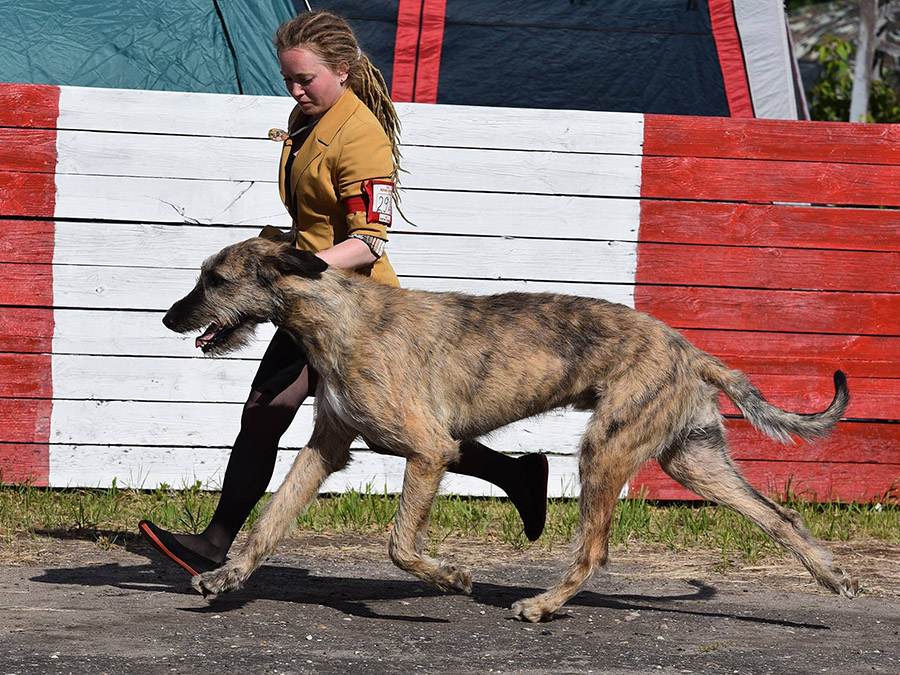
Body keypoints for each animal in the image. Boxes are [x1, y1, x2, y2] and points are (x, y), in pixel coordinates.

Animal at [163, 238, 856, 624]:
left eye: (216, 279)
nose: (169, 317)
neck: (335, 317)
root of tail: (691, 350)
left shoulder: (429, 449)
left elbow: (399, 545)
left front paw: (451, 579)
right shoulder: (325, 448)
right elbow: (271, 519)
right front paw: (227, 576)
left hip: (605, 450)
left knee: (594, 551)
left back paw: (543, 605)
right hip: (692, 459)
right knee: (779, 517)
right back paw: (832, 577)